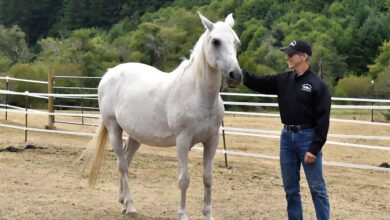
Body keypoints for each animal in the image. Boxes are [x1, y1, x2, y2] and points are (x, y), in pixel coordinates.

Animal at [84, 12, 242, 220]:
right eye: (215, 41)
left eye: (236, 42)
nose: (236, 75)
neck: (198, 95)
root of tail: (110, 73)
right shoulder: (182, 141)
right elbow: (184, 180)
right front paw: (183, 214)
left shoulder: (212, 140)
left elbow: (208, 179)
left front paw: (208, 215)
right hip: (113, 128)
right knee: (122, 164)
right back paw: (131, 206)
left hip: (135, 135)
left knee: (126, 160)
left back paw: (123, 202)